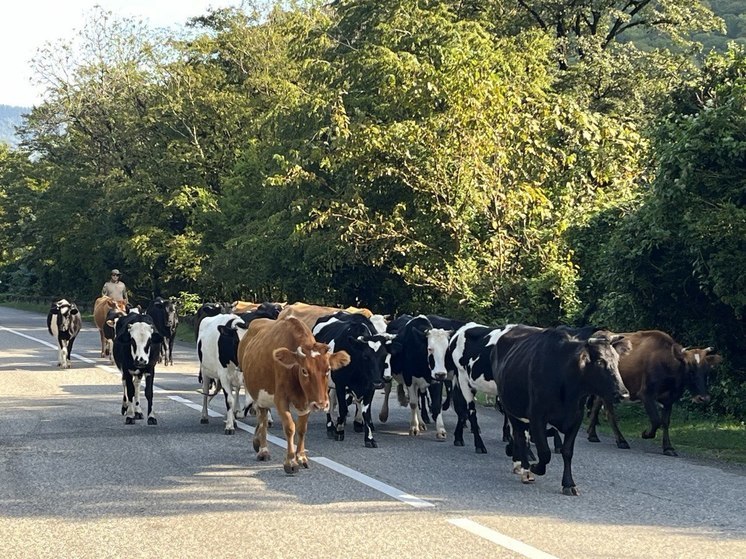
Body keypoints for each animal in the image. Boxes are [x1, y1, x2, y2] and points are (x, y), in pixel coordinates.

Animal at [241, 318, 352, 474]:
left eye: (328, 369)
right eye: (305, 370)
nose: (321, 404)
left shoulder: (307, 402)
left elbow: (301, 429)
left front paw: (301, 457)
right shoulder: (281, 400)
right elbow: (290, 428)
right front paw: (290, 462)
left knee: (262, 418)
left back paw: (257, 442)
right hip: (258, 393)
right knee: (262, 418)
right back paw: (263, 450)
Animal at [310, 312, 392, 448]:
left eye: (384, 356)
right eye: (365, 357)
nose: (379, 382)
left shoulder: (369, 387)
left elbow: (366, 412)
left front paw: (369, 438)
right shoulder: (340, 384)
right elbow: (343, 408)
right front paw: (339, 431)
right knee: (329, 403)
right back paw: (330, 427)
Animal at [494, 328, 628, 494]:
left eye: (617, 360)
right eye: (599, 361)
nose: (623, 394)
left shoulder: (576, 417)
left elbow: (567, 451)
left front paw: (569, 484)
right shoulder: (537, 415)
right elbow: (544, 452)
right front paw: (535, 468)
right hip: (511, 410)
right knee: (520, 437)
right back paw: (525, 469)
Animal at [588, 330, 720, 458]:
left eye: (707, 371)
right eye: (690, 370)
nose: (703, 398)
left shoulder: (669, 399)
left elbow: (665, 422)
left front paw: (668, 448)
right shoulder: (646, 394)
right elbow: (656, 420)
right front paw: (646, 434)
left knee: (595, 406)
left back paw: (592, 434)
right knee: (610, 414)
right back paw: (621, 441)